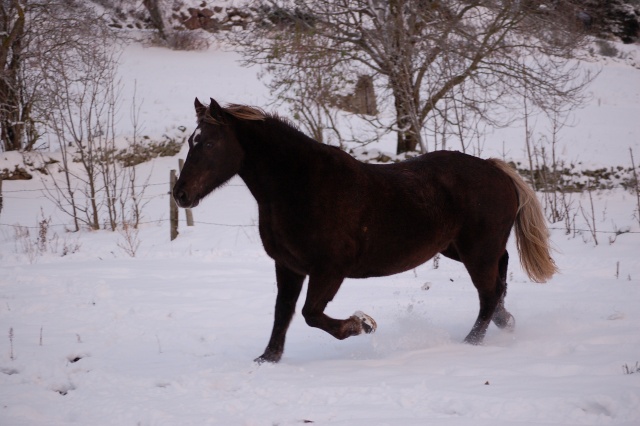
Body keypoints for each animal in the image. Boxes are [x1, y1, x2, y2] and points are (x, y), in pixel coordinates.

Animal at [172, 98, 556, 364]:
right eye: (191, 142)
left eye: (209, 143)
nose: (181, 194)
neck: (299, 187)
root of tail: (495, 170)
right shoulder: (289, 266)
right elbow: (283, 313)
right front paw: (268, 359)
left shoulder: (329, 270)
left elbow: (311, 314)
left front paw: (362, 324)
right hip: (459, 250)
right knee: (498, 283)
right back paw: (505, 323)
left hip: (477, 251)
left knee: (489, 293)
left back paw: (470, 343)